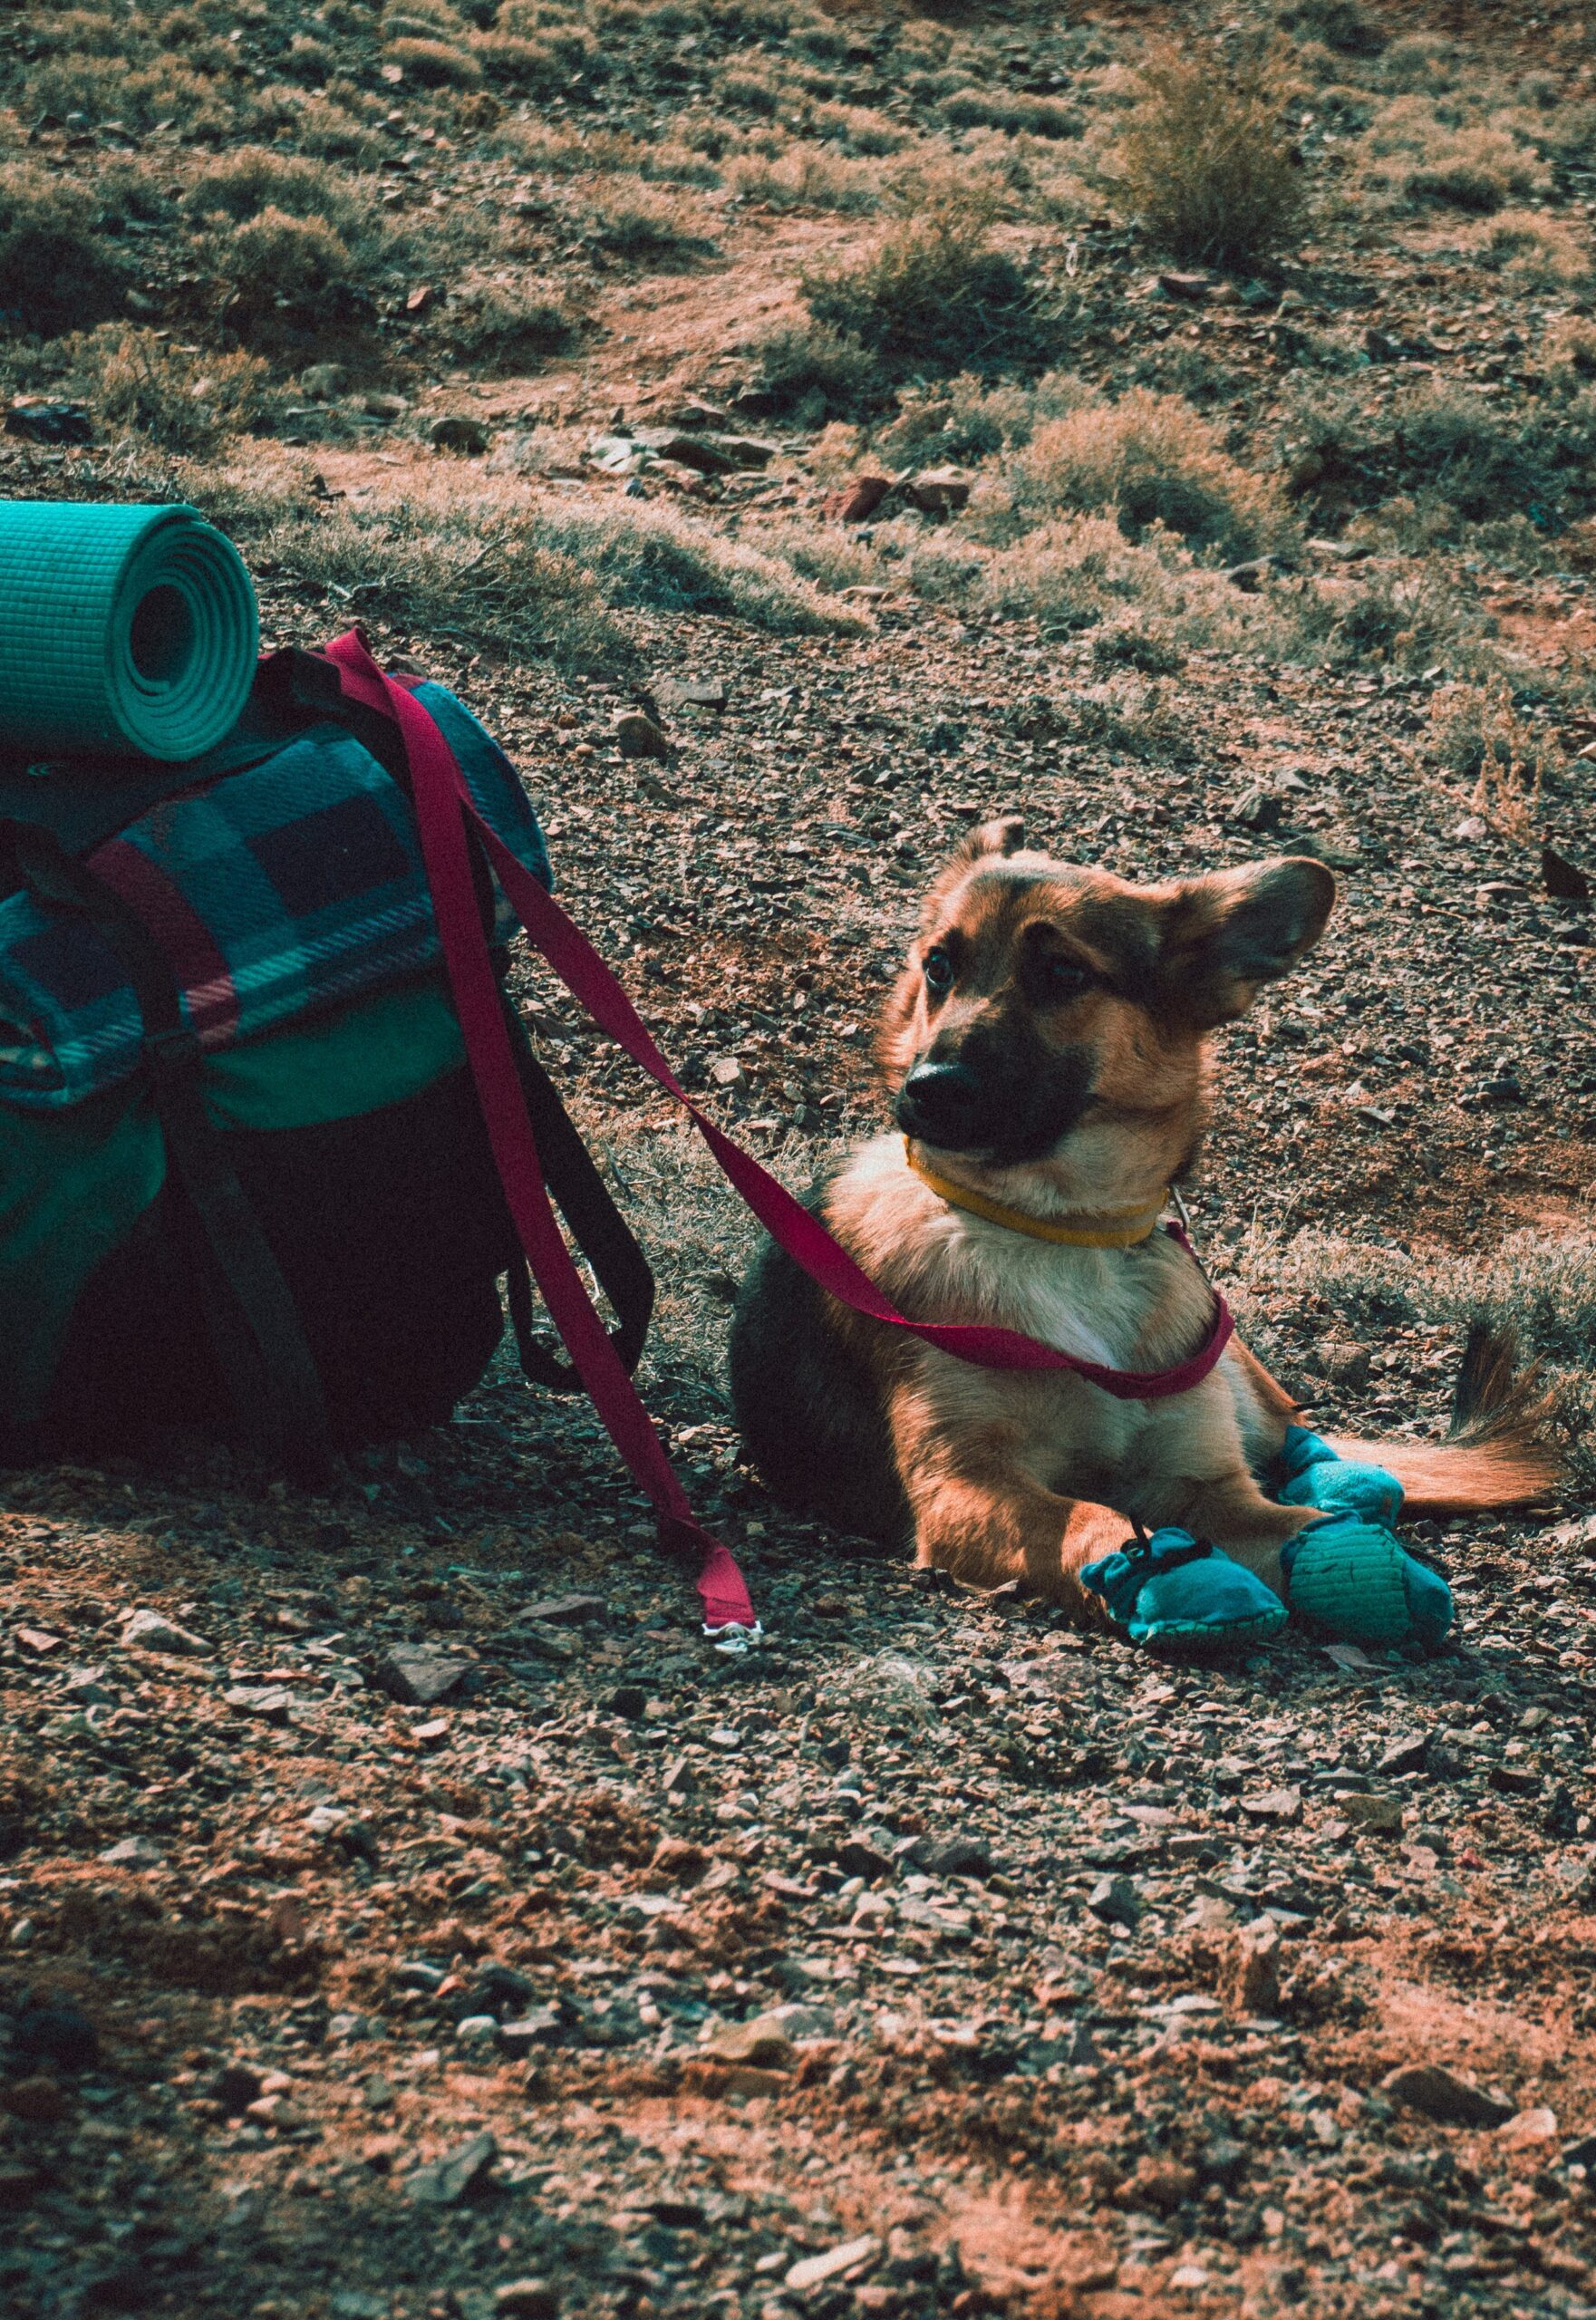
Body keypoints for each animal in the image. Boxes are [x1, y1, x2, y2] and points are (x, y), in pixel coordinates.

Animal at [728, 817, 1549, 1614]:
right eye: (939, 967)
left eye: (1063, 974)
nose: (928, 1089)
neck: (1063, 1230)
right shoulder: (963, 1486)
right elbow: (1091, 1519)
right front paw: (1164, 1573)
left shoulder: (1201, 1484)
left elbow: (1286, 1522)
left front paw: (1360, 1564)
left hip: (1226, 1362)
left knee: (1298, 1434)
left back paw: (1348, 1488)